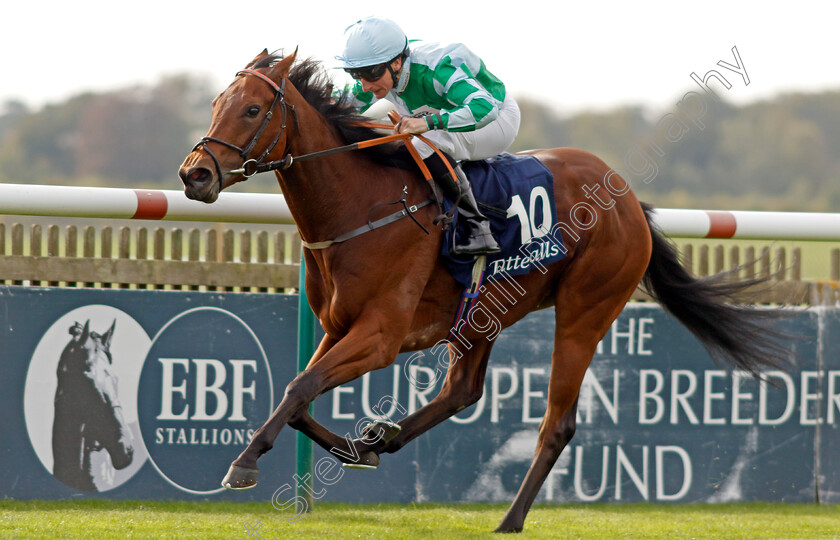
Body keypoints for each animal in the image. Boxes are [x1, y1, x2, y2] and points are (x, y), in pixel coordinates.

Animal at [177, 50, 788, 532]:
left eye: (253, 110)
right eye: (215, 104)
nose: (195, 175)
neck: (363, 207)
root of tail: (630, 199)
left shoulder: (381, 335)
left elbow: (300, 387)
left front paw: (244, 464)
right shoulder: (339, 328)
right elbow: (298, 394)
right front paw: (361, 446)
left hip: (586, 310)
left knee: (555, 424)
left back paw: (509, 519)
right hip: (484, 310)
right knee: (463, 390)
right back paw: (383, 440)